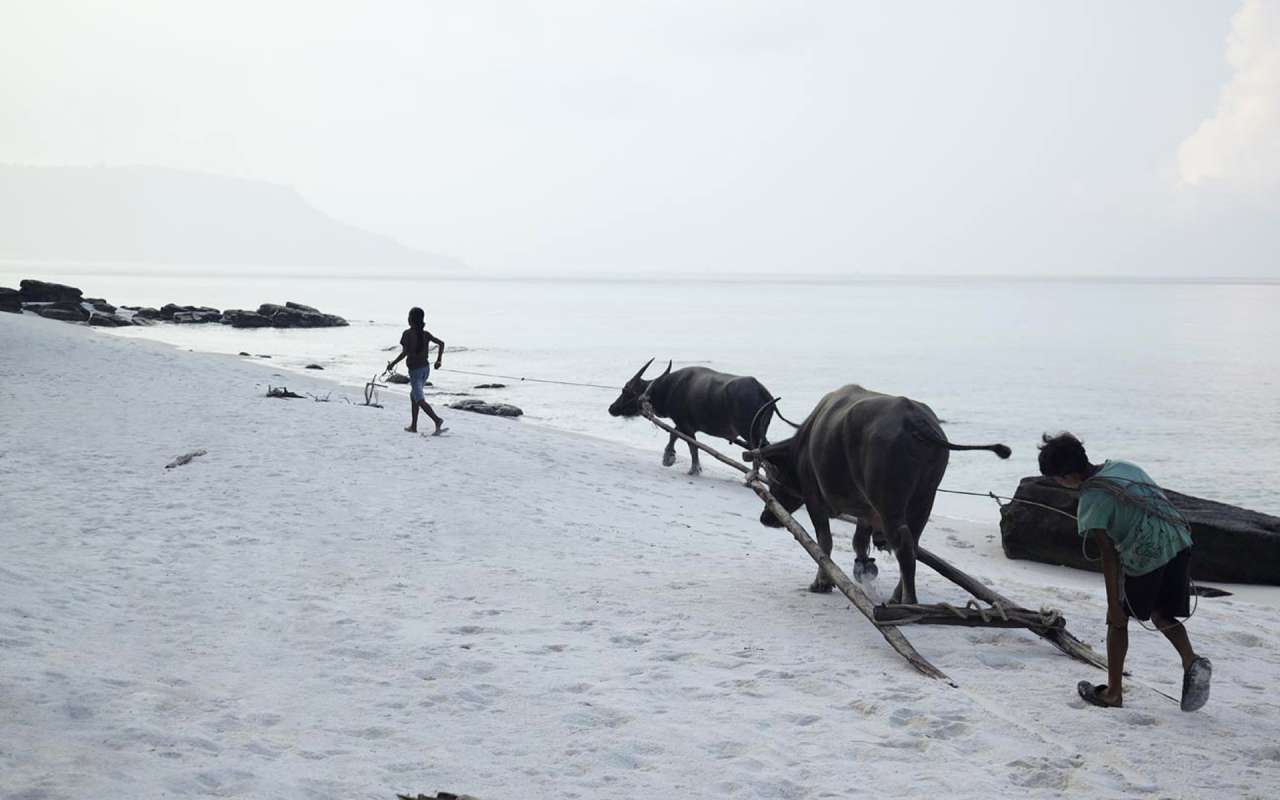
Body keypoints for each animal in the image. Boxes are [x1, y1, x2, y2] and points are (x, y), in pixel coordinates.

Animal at [611, 358, 778, 473]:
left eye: (626, 390)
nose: (611, 408)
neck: (668, 387)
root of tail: (762, 391)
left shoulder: (686, 425)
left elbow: (691, 445)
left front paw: (693, 469)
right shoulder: (683, 423)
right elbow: (674, 435)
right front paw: (668, 457)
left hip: (750, 433)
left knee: (760, 453)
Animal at [747, 384, 1008, 601]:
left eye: (775, 477)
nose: (766, 517)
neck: (804, 446)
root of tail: (917, 424)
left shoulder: (814, 499)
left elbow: (824, 543)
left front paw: (821, 583)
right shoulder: (866, 511)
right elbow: (858, 542)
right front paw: (863, 568)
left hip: (888, 502)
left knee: (903, 544)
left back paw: (908, 602)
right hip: (924, 499)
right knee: (913, 543)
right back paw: (897, 596)